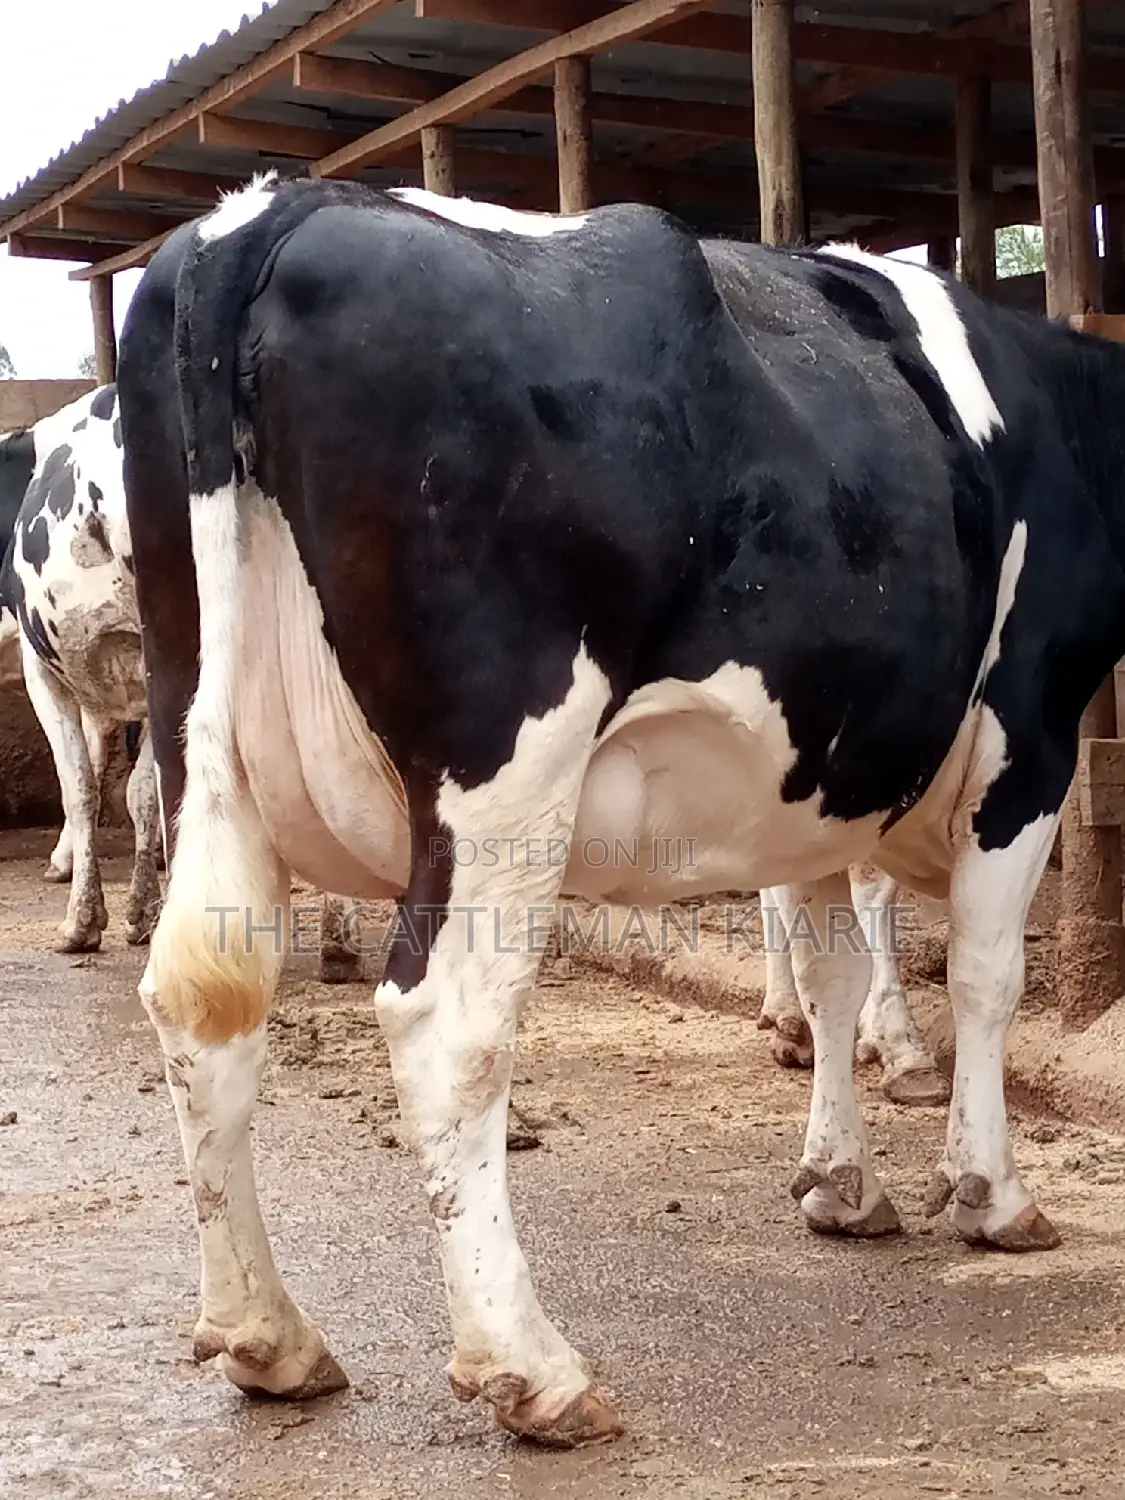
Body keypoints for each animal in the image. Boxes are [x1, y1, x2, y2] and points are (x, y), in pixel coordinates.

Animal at [117, 174, 1116, 1446]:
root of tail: (272, 209)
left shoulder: (816, 771)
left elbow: (829, 972)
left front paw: (840, 1183)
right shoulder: (1029, 735)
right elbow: (989, 979)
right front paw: (993, 1195)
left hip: (202, 733)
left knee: (204, 994)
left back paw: (269, 1337)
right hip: (504, 768)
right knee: (446, 1020)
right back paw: (532, 1368)